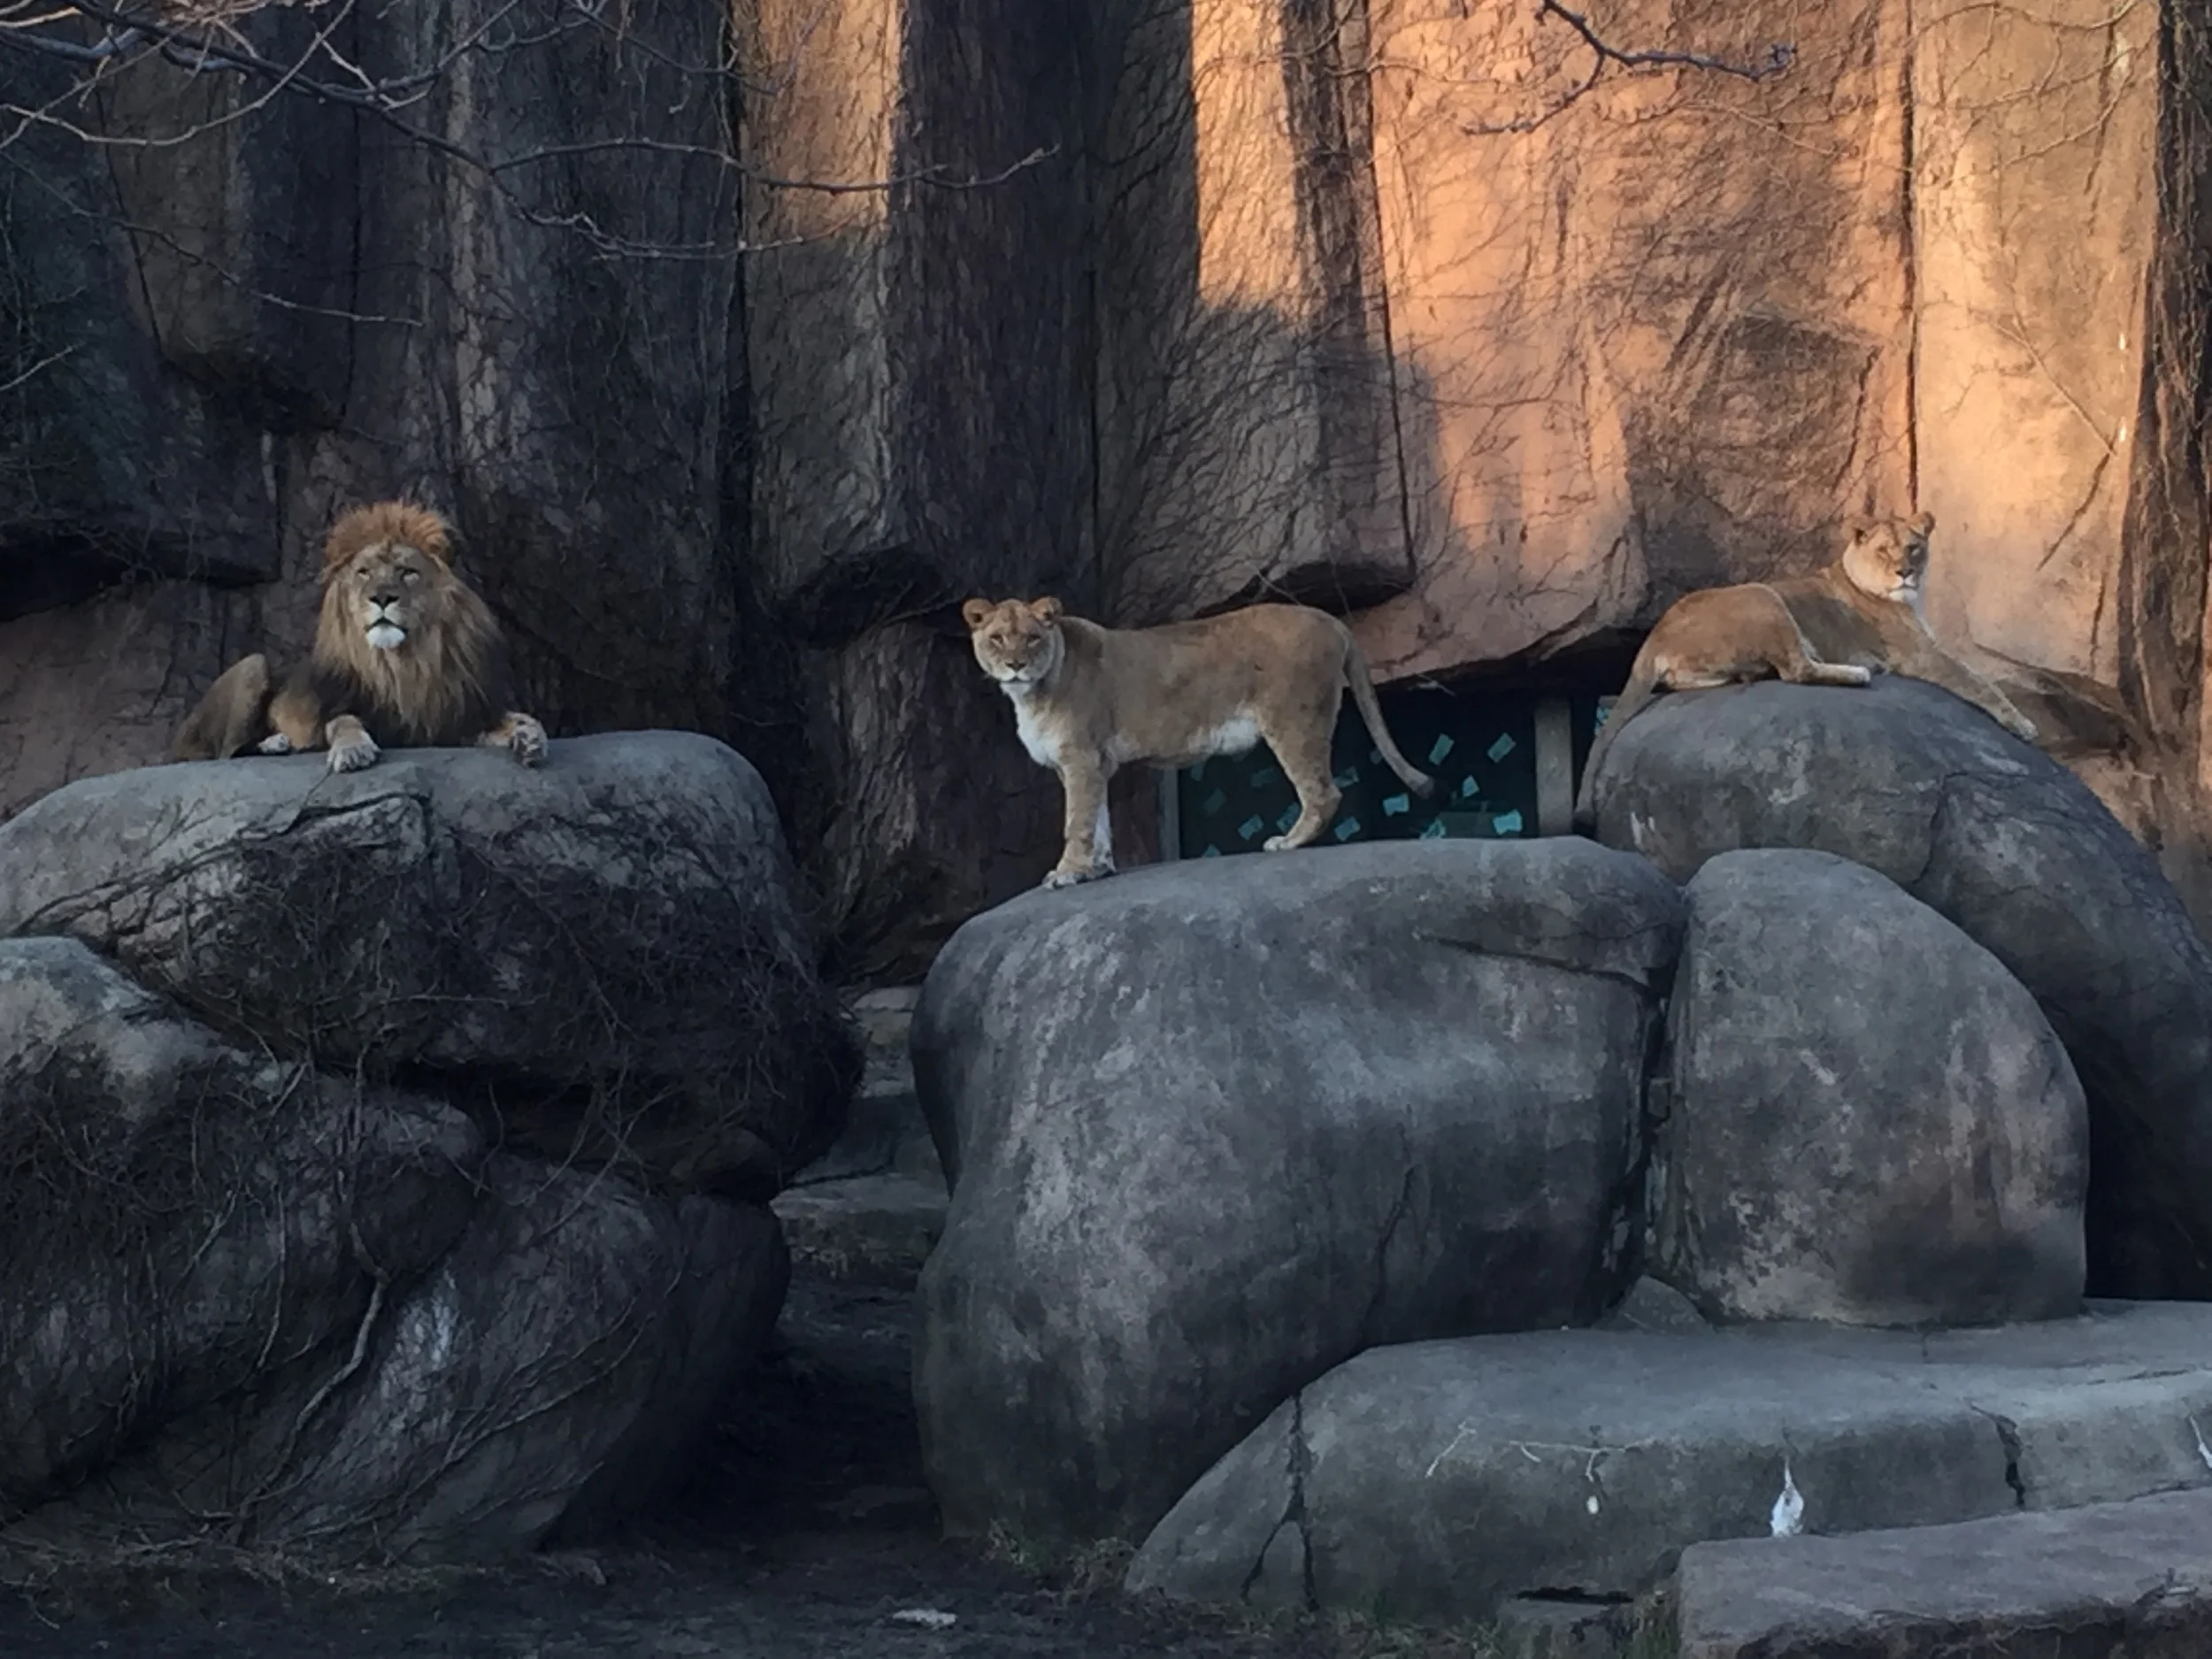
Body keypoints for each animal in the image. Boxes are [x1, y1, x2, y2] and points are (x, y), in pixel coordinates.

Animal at [171, 501, 547, 775]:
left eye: (407, 572)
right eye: (364, 572)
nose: (381, 597)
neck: (403, 664)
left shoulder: (455, 718)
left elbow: (516, 720)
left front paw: (529, 736)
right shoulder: (339, 706)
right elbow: (343, 722)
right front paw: (353, 750)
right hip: (253, 664)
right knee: (225, 753)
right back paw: (276, 743)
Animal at [962, 596, 1434, 888]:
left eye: (1032, 637)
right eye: (997, 638)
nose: (1015, 665)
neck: (1031, 694)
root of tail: (1331, 619)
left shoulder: (1080, 758)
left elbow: (1076, 821)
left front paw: (1067, 873)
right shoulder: (1092, 763)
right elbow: (1098, 820)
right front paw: (1097, 869)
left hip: (1292, 720)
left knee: (1323, 793)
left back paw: (1287, 842)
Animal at [1573, 511, 2036, 827]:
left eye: (1914, 547)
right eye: (1883, 550)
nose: (1904, 571)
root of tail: (1653, 638)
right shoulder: (1920, 655)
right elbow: (1978, 680)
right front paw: (2022, 724)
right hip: (1763, 596)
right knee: (1796, 669)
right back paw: (1855, 673)